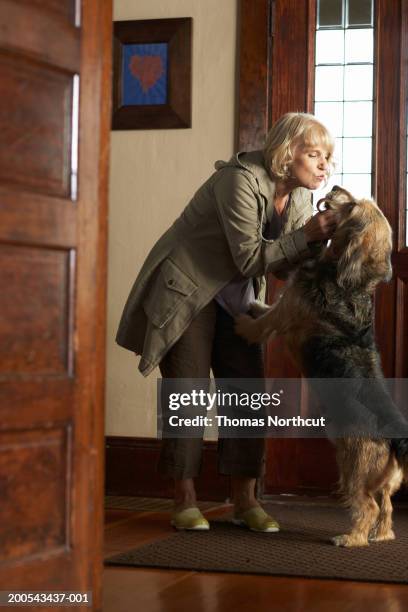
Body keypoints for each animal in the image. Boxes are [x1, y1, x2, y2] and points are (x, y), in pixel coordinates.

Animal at [234, 185, 408, 544]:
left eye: (352, 207)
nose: (336, 186)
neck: (353, 283)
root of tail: (397, 438)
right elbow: (268, 310)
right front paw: (255, 307)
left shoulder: (286, 311)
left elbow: (265, 321)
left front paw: (245, 321)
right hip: (385, 482)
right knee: (386, 507)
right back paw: (381, 536)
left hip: (352, 466)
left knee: (368, 506)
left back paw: (350, 538)